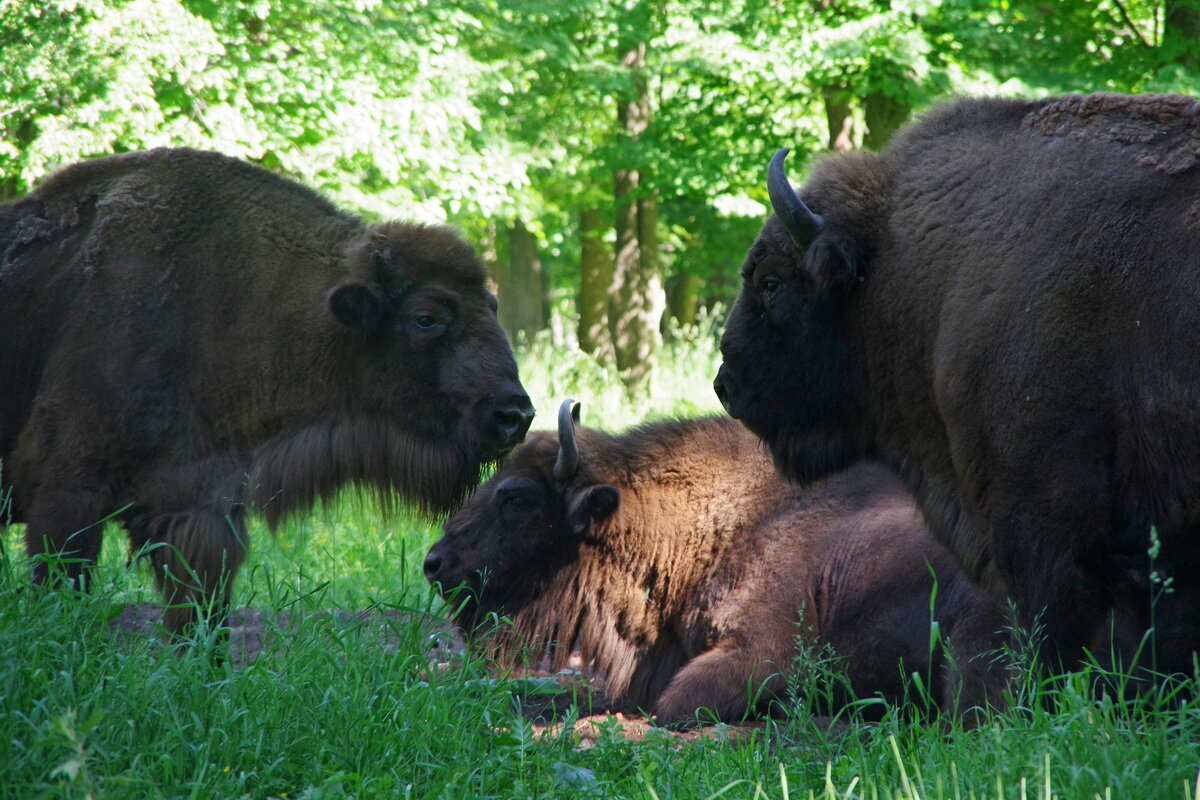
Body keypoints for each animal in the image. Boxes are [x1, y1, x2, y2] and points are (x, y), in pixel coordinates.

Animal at [0, 148, 535, 638]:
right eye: (426, 318)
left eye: (491, 306)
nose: (514, 414)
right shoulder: (68, 494)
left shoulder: (199, 509)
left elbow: (201, 617)